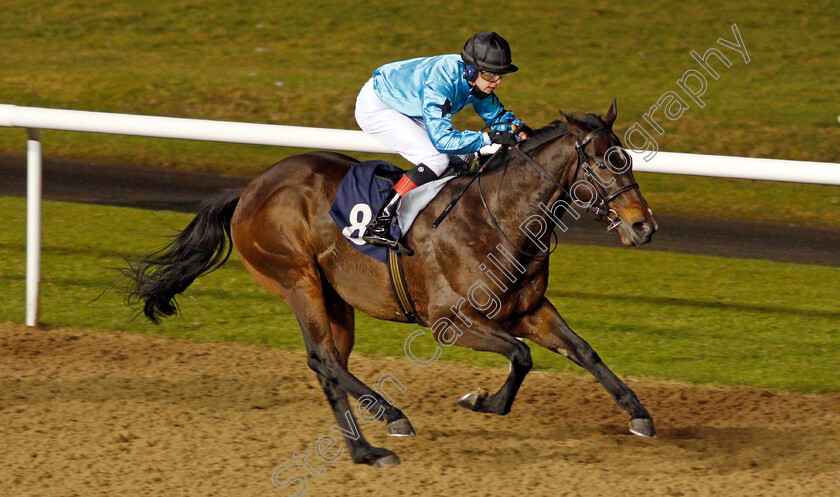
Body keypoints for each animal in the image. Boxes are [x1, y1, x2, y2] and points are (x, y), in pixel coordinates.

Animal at [128, 100, 660, 464]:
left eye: (628, 157)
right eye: (604, 162)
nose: (643, 227)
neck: (499, 219)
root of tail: (249, 190)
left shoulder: (529, 309)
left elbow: (583, 350)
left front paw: (639, 413)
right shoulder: (450, 321)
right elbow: (521, 356)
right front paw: (482, 400)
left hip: (335, 298)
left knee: (329, 365)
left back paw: (364, 451)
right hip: (297, 279)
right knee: (322, 358)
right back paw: (392, 417)